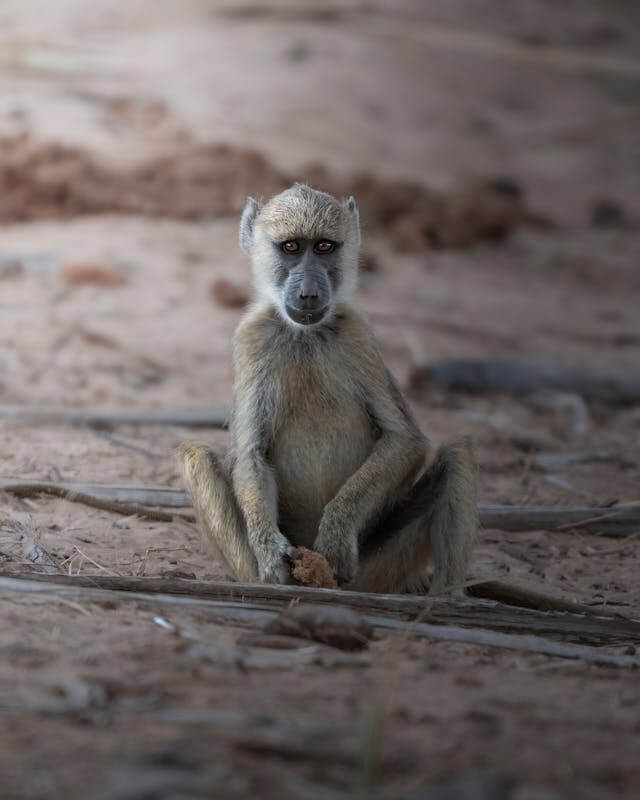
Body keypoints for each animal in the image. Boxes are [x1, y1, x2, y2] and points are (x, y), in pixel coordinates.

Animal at [180, 184, 477, 593]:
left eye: (323, 247)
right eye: (291, 247)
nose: (308, 294)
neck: (306, 336)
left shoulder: (358, 336)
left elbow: (404, 440)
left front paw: (337, 532)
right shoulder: (251, 340)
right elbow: (251, 454)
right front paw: (270, 552)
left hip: (372, 572)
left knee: (457, 455)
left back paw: (447, 597)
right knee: (196, 456)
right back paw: (268, 584)